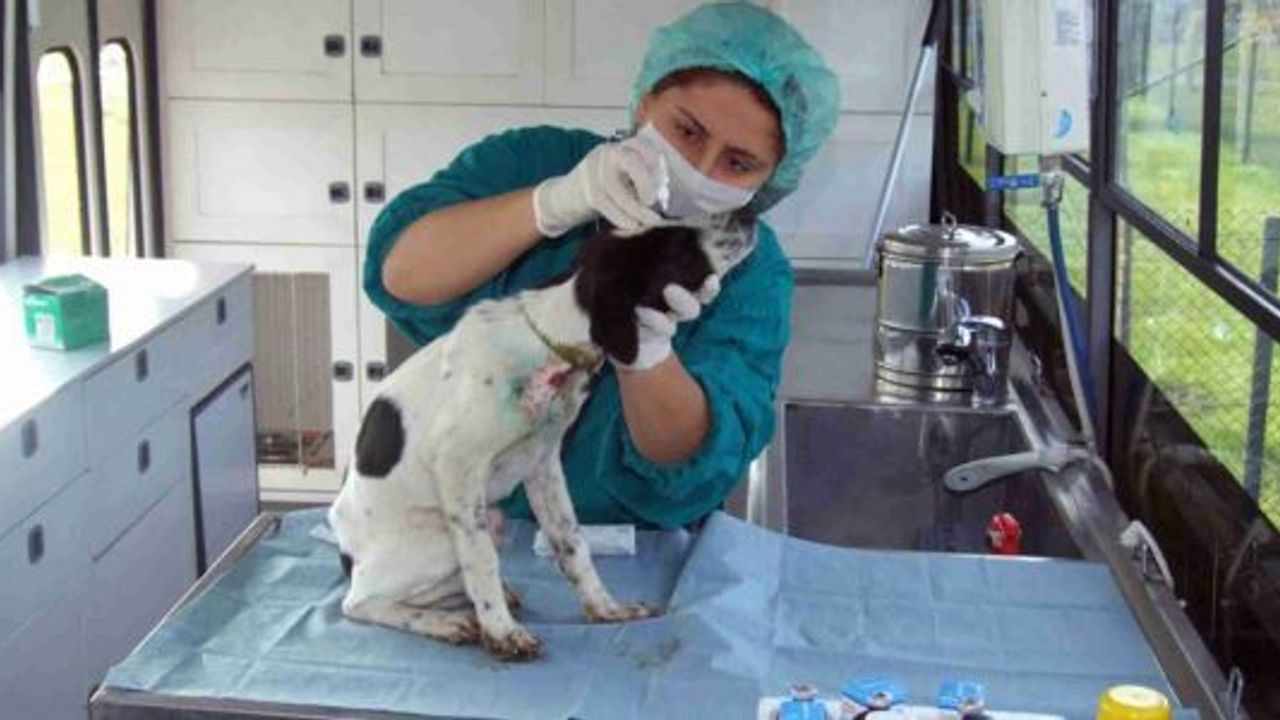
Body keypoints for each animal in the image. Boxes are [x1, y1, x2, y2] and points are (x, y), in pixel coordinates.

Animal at [328, 214, 757, 661]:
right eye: (677, 245)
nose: (748, 215)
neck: (548, 343)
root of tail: (347, 554)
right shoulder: (456, 466)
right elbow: (480, 560)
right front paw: (501, 632)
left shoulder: (542, 463)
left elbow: (573, 545)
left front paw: (605, 608)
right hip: (439, 538)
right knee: (360, 601)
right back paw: (443, 622)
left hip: (490, 520)